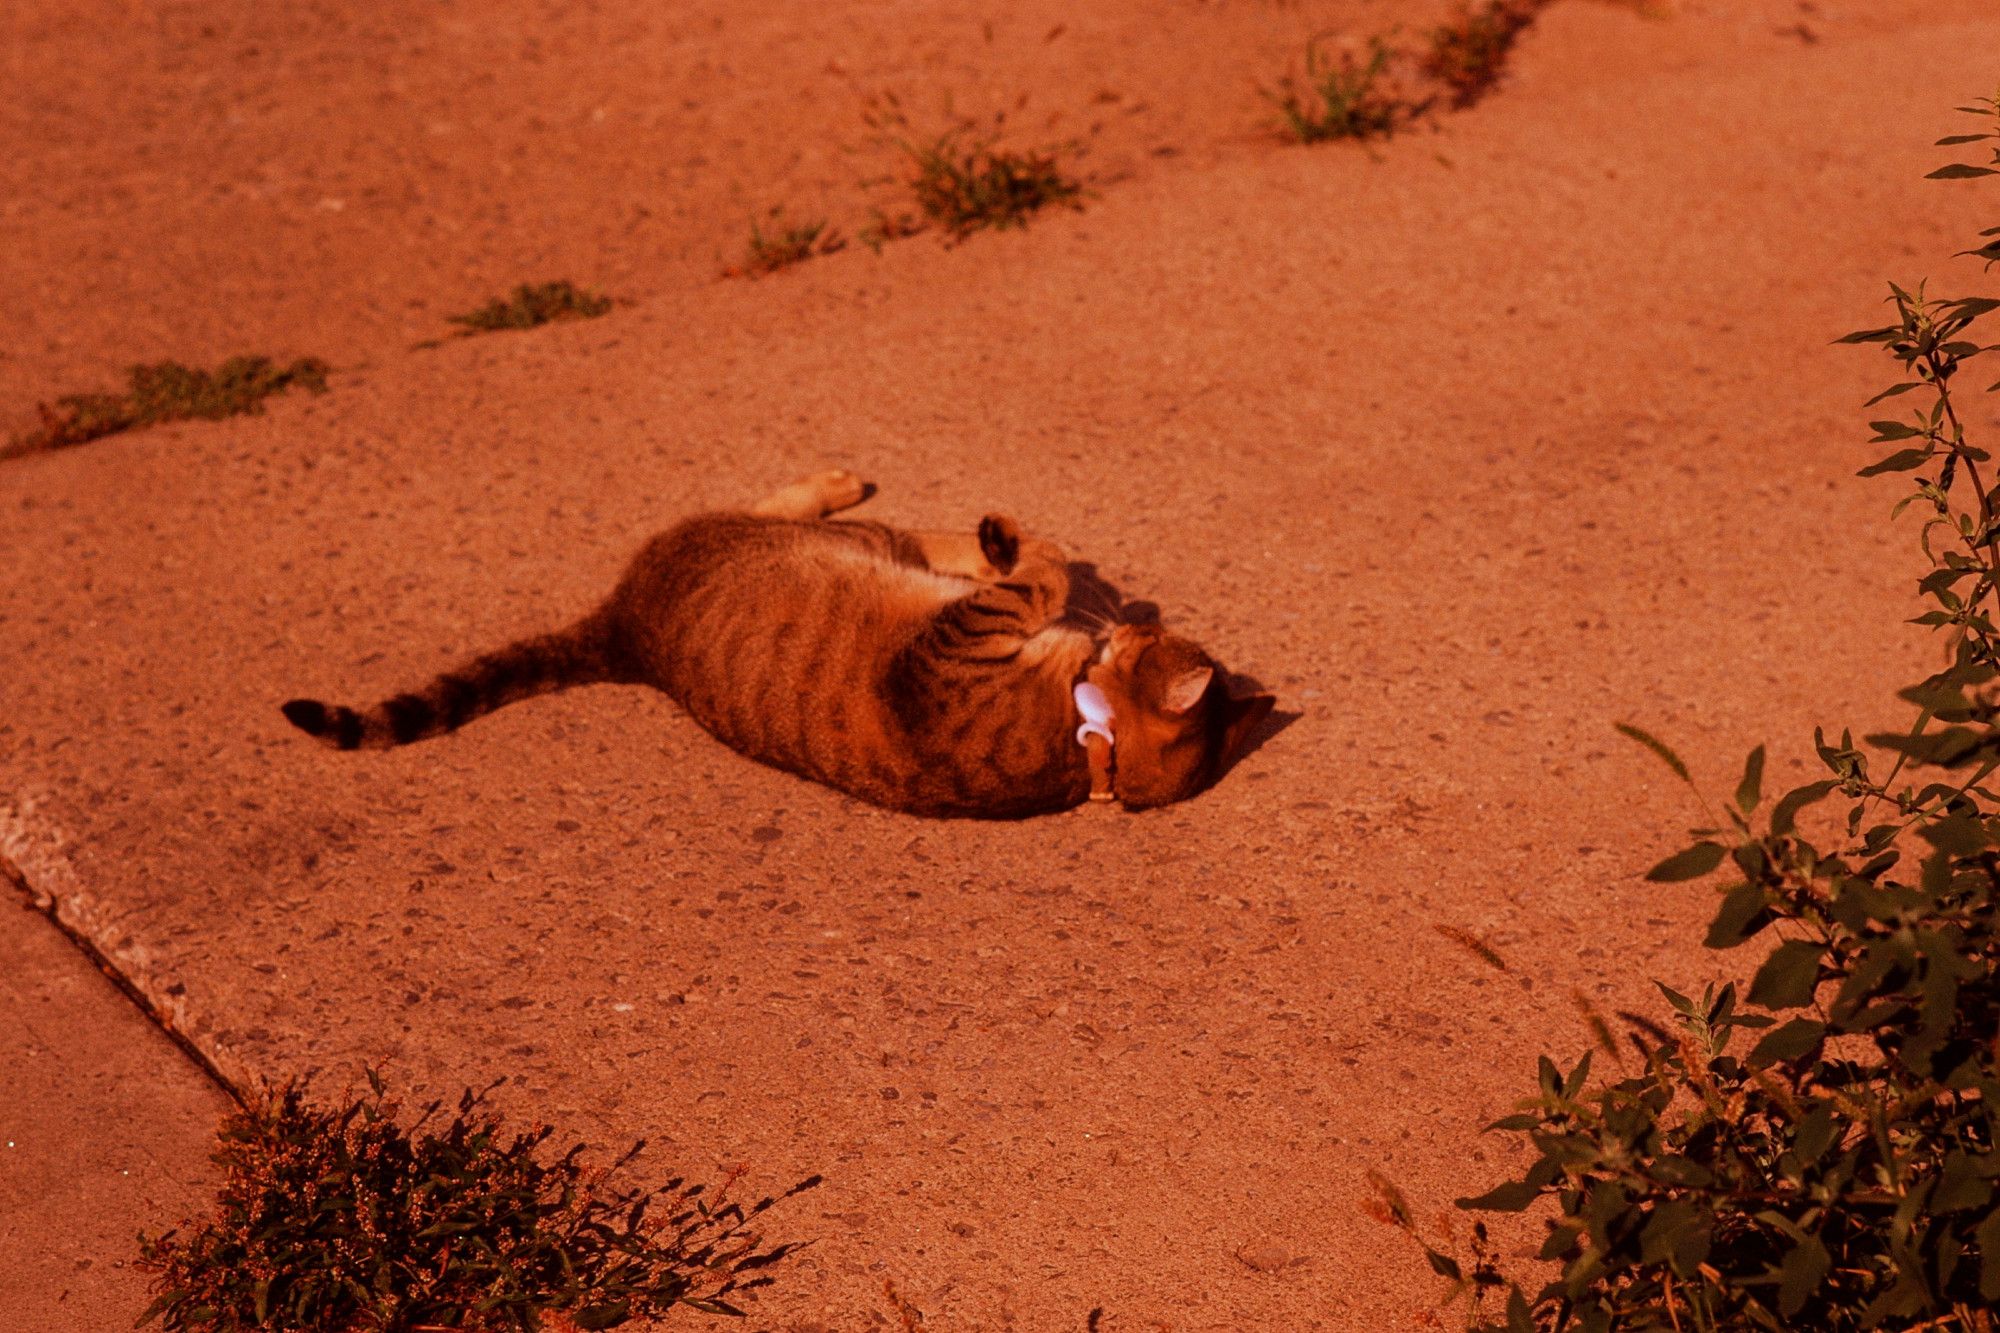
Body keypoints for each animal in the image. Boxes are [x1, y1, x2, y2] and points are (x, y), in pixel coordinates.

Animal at [282, 466, 1272, 820]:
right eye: (1157, 633)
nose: (1134, 620)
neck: (1086, 744)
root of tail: (623, 630)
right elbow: (1042, 576)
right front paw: (1050, 562)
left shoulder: (951, 644)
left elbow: (1043, 576)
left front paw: (1034, 556)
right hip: (845, 545)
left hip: (815, 541)